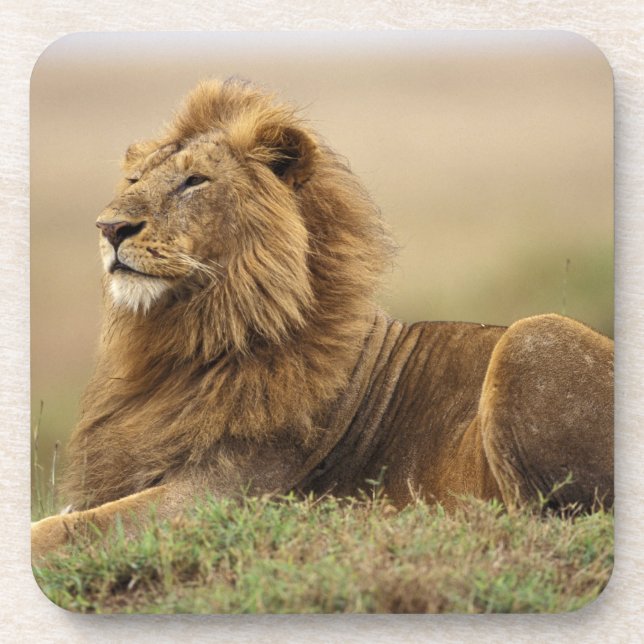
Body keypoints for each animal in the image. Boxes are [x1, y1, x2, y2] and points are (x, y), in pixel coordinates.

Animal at [31, 79, 613, 560]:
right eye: (133, 179)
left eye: (195, 181)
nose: (109, 228)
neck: (190, 341)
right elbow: (62, 517)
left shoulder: (219, 494)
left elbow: (69, 530)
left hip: (534, 336)